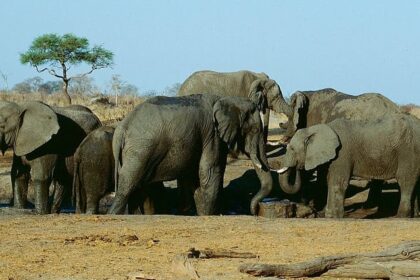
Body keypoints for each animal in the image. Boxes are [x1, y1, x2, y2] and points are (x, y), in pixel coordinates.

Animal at [108, 94, 278, 214]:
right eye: (255, 130)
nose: (255, 211)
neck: (227, 99)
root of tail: (122, 128)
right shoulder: (213, 135)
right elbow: (210, 173)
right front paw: (210, 215)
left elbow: (196, 178)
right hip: (140, 151)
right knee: (127, 187)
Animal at [274, 114, 420, 219]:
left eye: (292, 149)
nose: (298, 167)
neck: (319, 128)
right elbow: (329, 180)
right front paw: (329, 216)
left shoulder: (342, 154)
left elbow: (338, 182)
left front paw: (334, 216)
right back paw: (415, 216)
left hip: (409, 151)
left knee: (405, 181)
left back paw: (401, 216)